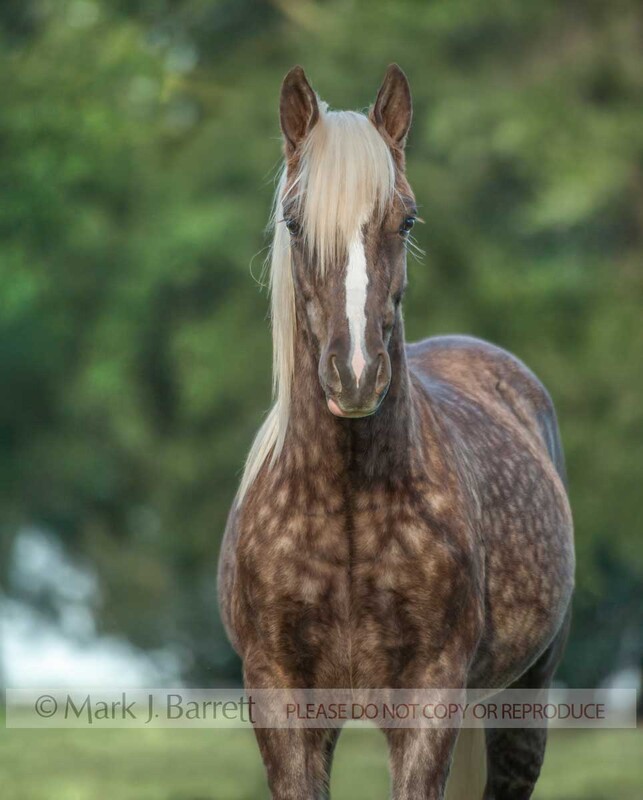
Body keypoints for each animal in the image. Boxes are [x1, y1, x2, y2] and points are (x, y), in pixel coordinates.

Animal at [218, 64, 574, 800]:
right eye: (293, 221)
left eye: (405, 219)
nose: (355, 375)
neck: (347, 510)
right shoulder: (280, 701)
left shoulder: (429, 700)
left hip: (524, 702)